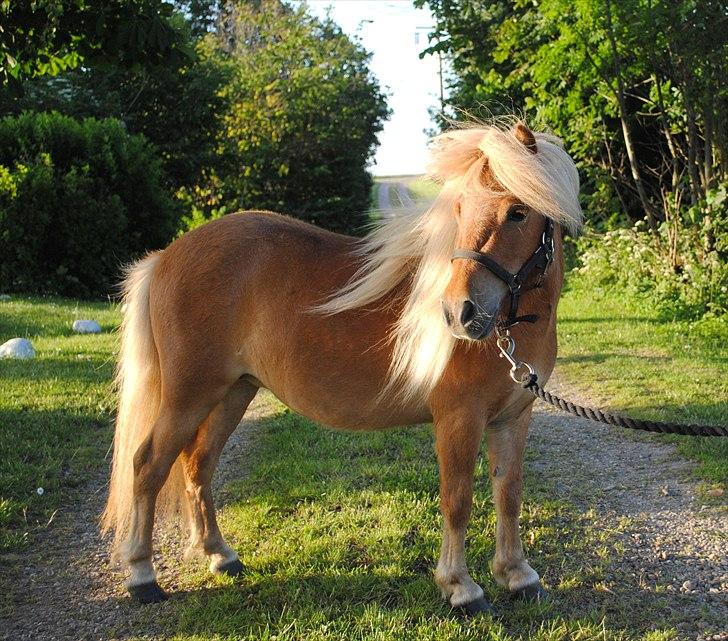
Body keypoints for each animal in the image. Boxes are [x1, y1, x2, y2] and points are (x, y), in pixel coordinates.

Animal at [101, 120, 580, 616]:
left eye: (518, 213)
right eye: (460, 210)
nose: (458, 313)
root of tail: (165, 257)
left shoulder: (512, 418)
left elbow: (509, 494)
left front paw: (517, 575)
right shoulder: (458, 420)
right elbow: (458, 500)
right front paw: (460, 586)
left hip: (233, 392)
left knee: (198, 465)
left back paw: (220, 556)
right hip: (188, 396)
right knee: (147, 466)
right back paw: (142, 576)